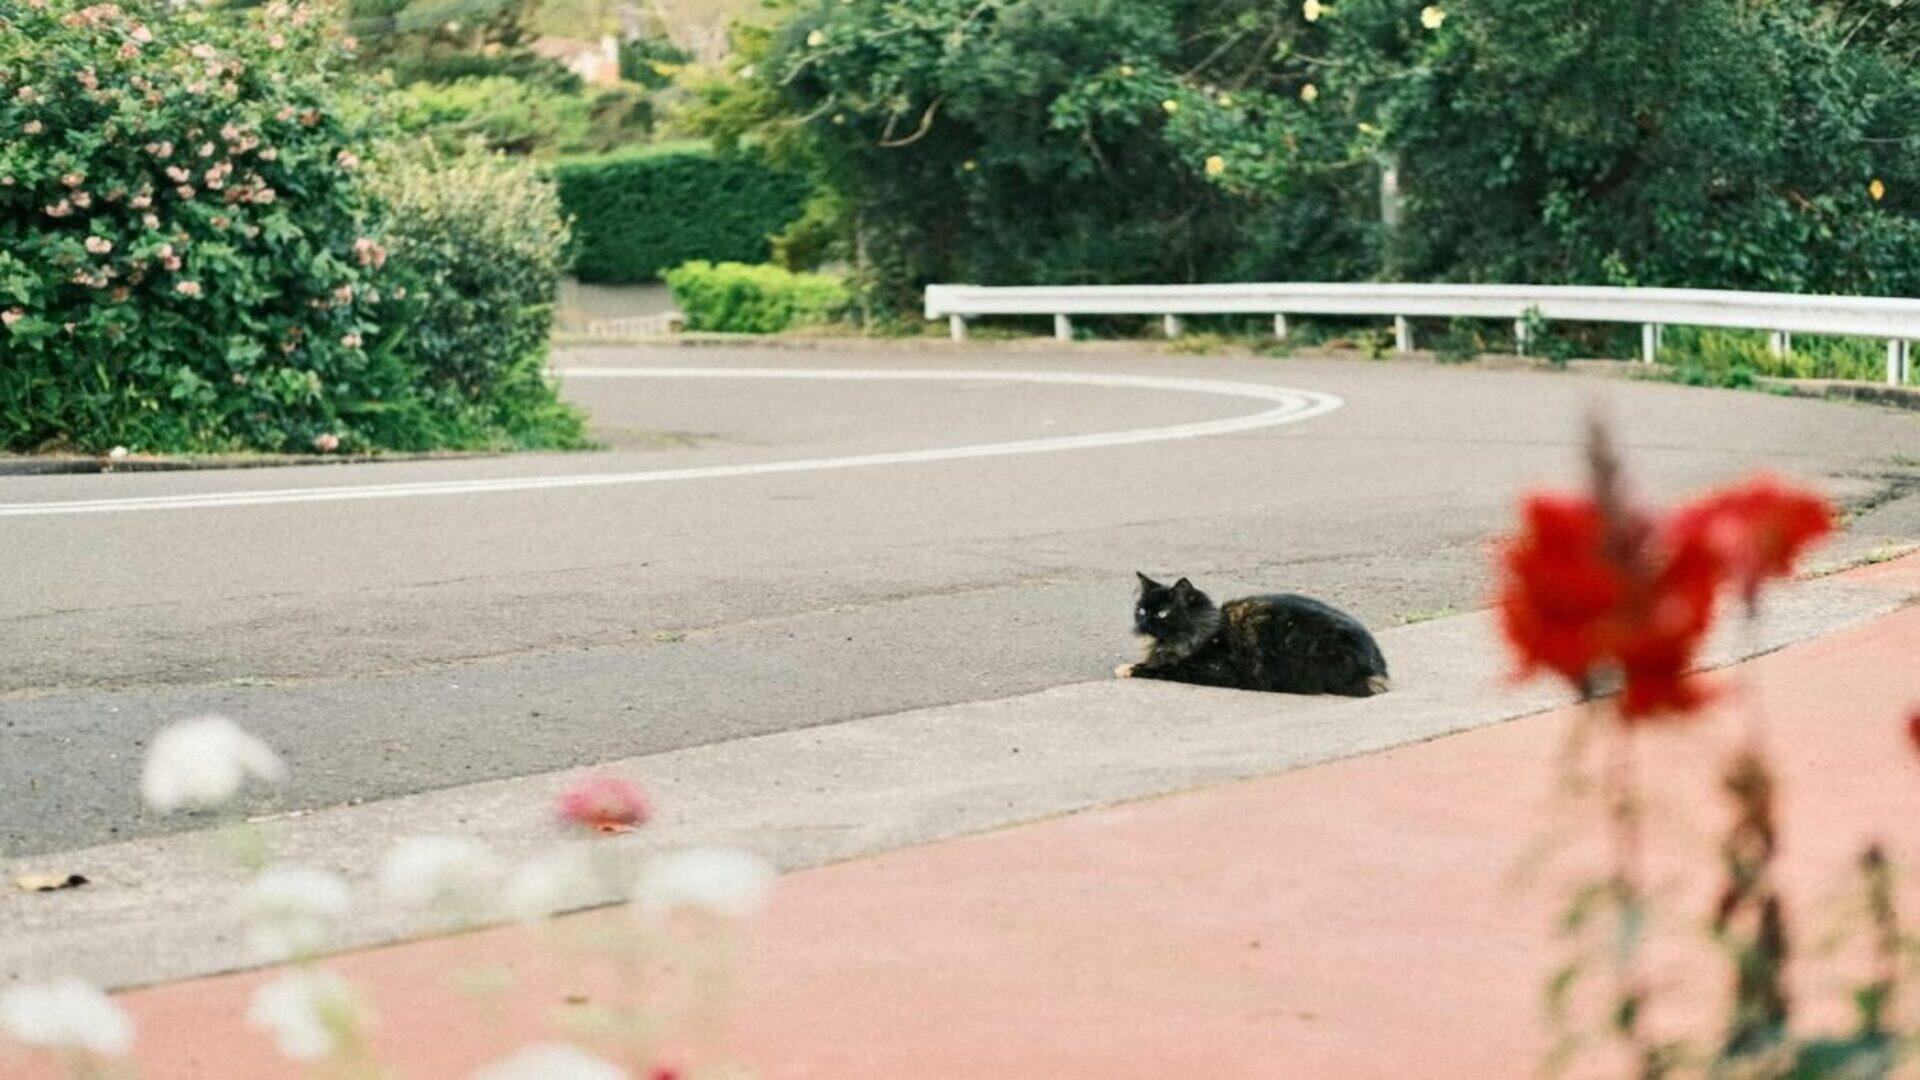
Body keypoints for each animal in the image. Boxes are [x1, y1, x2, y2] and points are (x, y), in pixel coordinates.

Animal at [1116, 573, 1390, 697]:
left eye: (1162, 613)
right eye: (1141, 610)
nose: (1142, 623)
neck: (1207, 630)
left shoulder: (1211, 669)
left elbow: (1165, 668)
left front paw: (1130, 668)